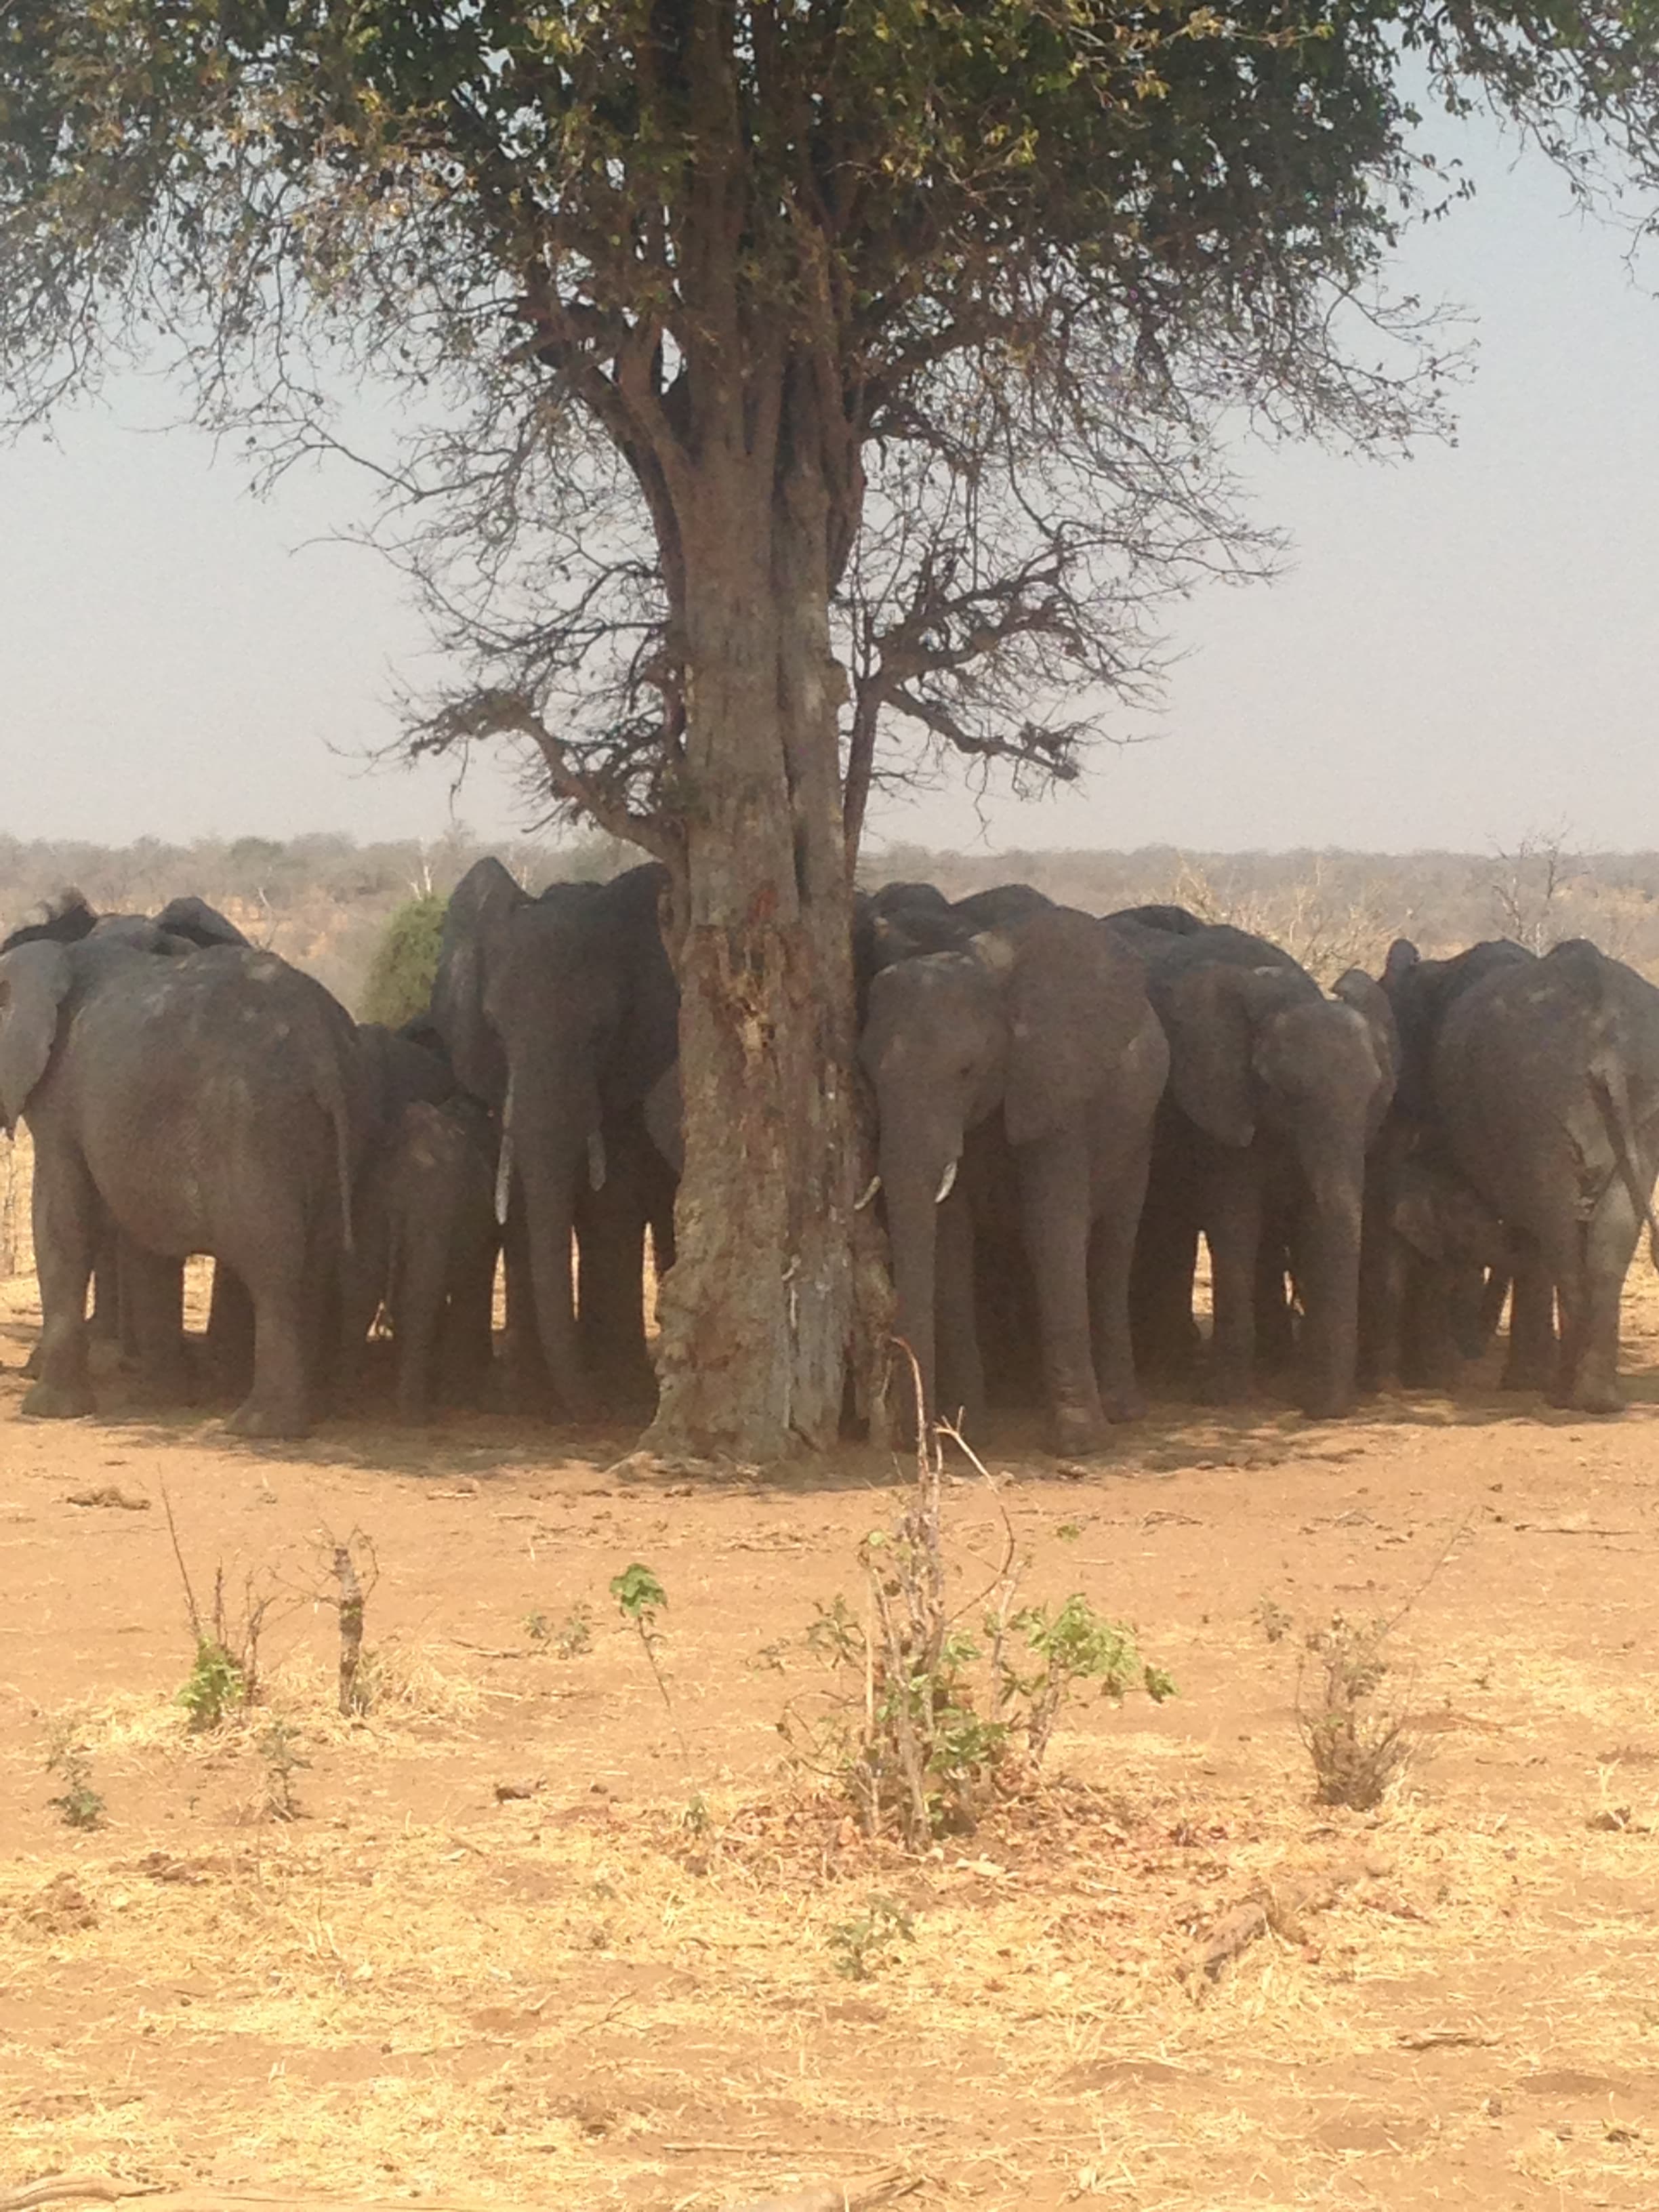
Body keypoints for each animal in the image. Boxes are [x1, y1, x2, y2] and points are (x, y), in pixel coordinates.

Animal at [0, 936, 368, 1436]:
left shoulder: (61, 1101)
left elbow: (61, 1224)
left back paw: (258, 1427)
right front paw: (160, 1399)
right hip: (332, 1122)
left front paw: (47, 1410)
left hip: (251, 1121)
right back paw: (305, 1414)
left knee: (273, 1266)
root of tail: (322, 1044)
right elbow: (146, 1241)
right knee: (316, 1261)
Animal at [431, 859, 679, 1421]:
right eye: (495, 1028)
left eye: (601, 1032)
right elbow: (524, 1201)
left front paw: (622, 1389)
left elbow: (614, 1202)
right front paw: (523, 1397)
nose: (594, 1413)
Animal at [858, 900, 1169, 1454]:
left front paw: (1078, 1443)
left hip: (1141, 1128)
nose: (916, 1440)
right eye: (868, 1073)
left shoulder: (1054, 1088)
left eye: (966, 1070)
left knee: (1114, 1245)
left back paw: (1122, 1411)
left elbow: (1051, 1230)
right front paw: (966, 1429)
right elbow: (952, 1241)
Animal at [1110, 919, 1397, 1419]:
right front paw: (1223, 1397)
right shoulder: (1218, 1102)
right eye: (1285, 1091)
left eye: (1373, 1096)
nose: (1320, 1409)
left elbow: (1311, 1220)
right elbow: (1235, 1219)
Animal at [1428, 937, 1659, 1412]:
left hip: (1533, 1100)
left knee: (1557, 1236)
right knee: (1606, 1240)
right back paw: (1597, 1399)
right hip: (1637, 1095)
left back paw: (1561, 1392)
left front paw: (1522, 1381)